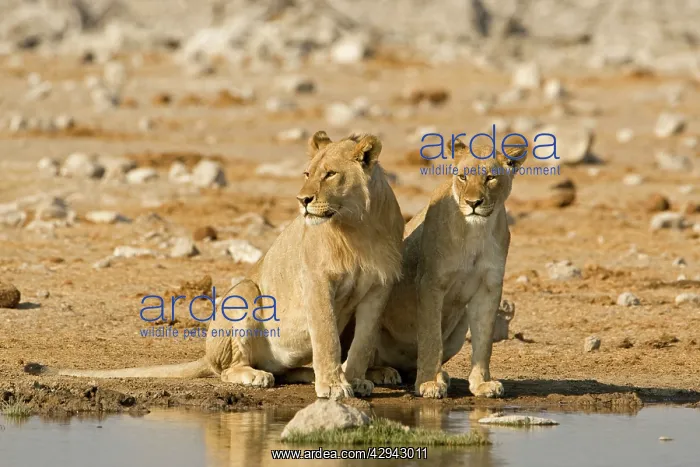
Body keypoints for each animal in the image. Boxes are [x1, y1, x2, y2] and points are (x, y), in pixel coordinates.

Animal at [24, 131, 405, 400]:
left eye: (330, 175)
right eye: (308, 172)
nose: (303, 200)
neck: (358, 226)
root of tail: (206, 356)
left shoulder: (379, 286)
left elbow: (363, 340)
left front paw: (355, 379)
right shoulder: (316, 280)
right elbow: (326, 337)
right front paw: (334, 386)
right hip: (245, 292)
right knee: (229, 369)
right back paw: (255, 375)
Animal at [365, 137, 527, 399]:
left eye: (490, 178)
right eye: (462, 177)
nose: (473, 203)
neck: (476, 231)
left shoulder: (489, 287)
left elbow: (484, 341)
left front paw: (482, 383)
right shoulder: (431, 283)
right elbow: (431, 337)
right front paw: (429, 384)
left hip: (458, 333)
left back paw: (439, 374)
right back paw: (384, 373)